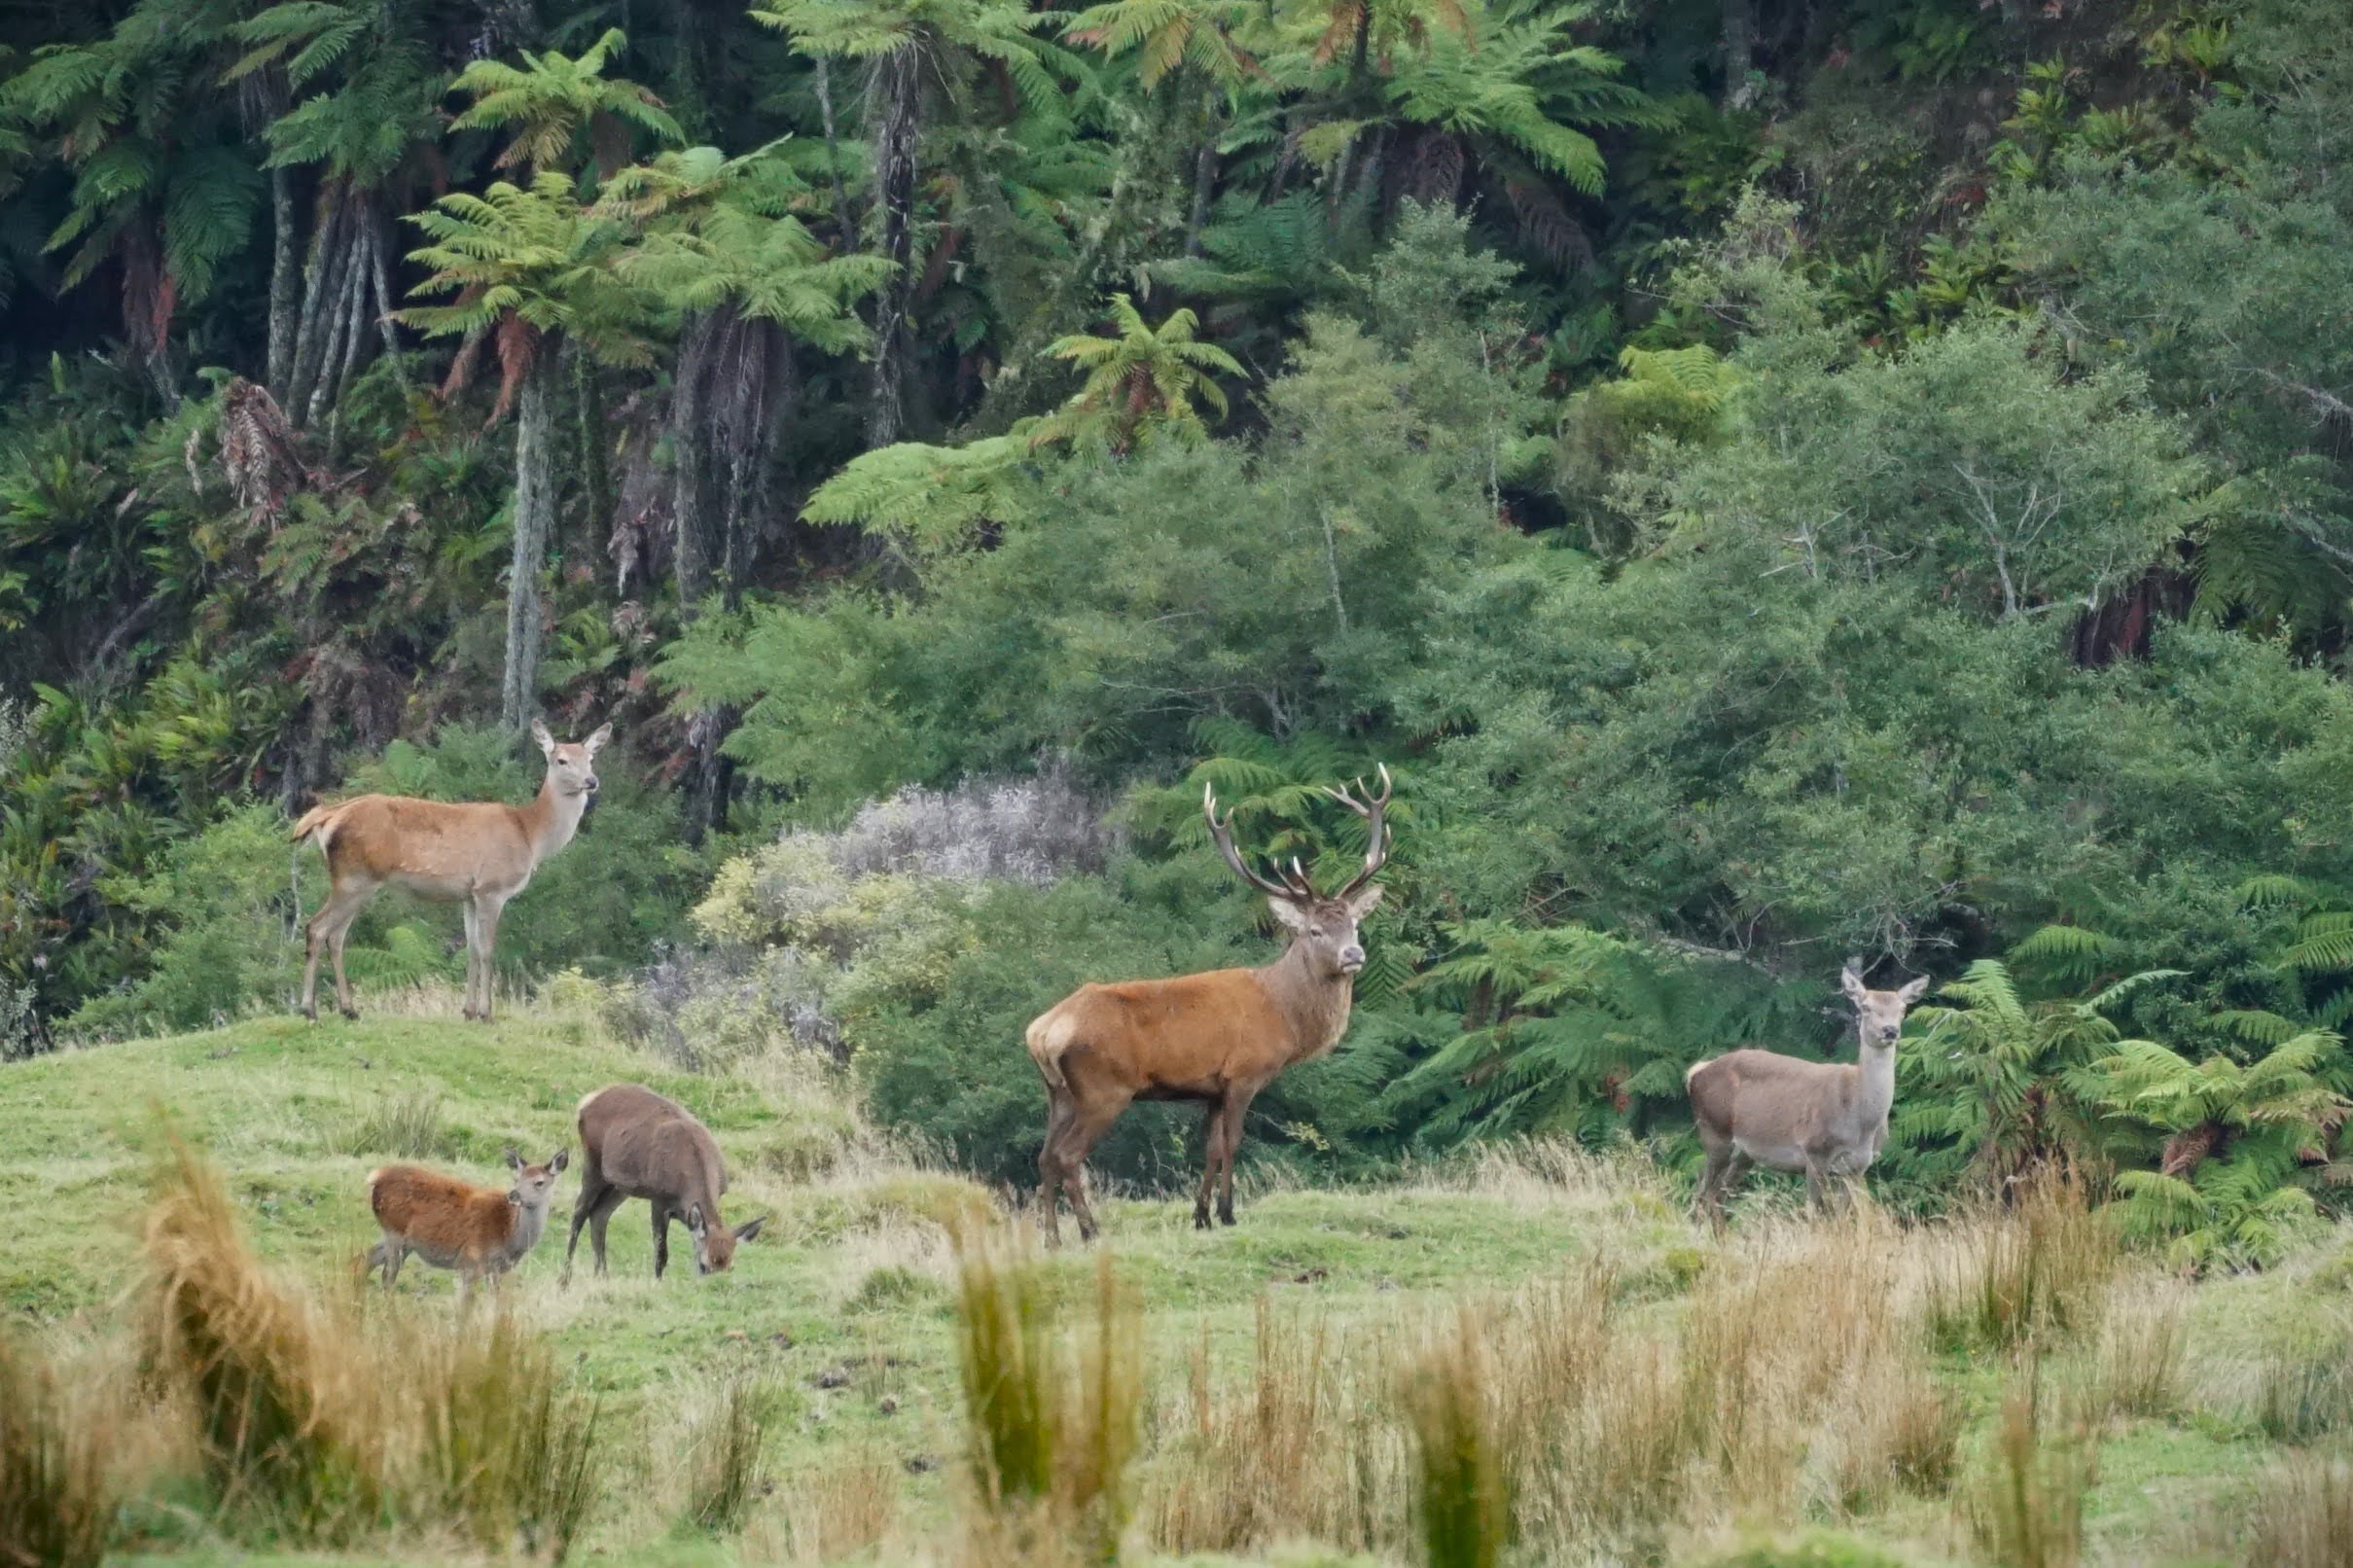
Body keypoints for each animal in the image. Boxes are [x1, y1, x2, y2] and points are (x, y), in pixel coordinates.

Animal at [288, 715, 607, 1021]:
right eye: (561, 760)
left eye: (591, 758)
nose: (591, 781)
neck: (530, 834)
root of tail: (328, 816)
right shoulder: (492, 887)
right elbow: (488, 949)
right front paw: (486, 1013)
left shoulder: (469, 894)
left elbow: (473, 949)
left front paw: (468, 1011)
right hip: (354, 878)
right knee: (317, 928)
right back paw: (308, 1009)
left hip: (358, 883)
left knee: (336, 936)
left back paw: (348, 1009)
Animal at [364, 1144, 571, 1300]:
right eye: (516, 1179)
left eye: (539, 1182)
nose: (514, 1195)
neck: (509, 1238)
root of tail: (376, 1177)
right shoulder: (471, 1259)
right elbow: (465, 1306)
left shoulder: (496, 1270)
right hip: (394, 1230)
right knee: (387, 1275)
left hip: (402, 1239)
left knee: (368, 1256)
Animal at [554, 1083, 767, 1280]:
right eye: (704, 1265)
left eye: (730, 1266)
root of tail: (587, 1100)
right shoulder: (658, 1198)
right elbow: (661, 1253)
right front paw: (657, 1283)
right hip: (592, 1162)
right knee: (579, 1212)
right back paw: (564, 1278)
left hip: (619, 1184)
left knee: (599, 1214)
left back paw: (602, 1277)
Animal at [1020, 763, 1383, 1242]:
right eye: (1314, 930)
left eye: (1354, 924)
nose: (1353, 954)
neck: (1282, 1012)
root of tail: (1042, 1031)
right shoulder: (1245, 1073)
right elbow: (1232, 1143)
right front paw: (1228, 1213)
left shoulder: (1211, 1087)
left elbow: (1210, 1148)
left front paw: (1201, 1216)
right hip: (1102, 1088)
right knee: (1067, 1155)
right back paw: (1089, 1230)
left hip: (1056, 1091)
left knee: (1044, 1155)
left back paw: (1051, 1237)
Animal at [1693, 950, 1929, 1224]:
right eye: (1866, 1006)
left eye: (1902, 1008)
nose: (1890, 1030)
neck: (1860, 1120)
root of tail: (1695, 1072)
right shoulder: (1814, 1151)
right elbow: (1815, 1214)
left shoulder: (1859, 1165)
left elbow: (1843, 1218)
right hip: (1715, 1131)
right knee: (1702, 1197)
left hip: (1745, 1153)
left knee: (1717, 1199)